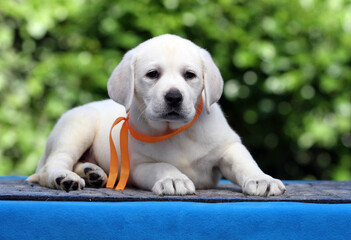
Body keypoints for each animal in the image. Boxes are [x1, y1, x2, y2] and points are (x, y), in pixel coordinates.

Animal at [27, 34, 286, 197]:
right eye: (152, 74)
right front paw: (174, 179)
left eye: (190, 75)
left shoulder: (227, 147)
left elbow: (245, 162)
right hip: (78, 127)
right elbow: (162, 165)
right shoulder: (140, 166)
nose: (174, 97)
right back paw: (65, 177)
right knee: (54, 163)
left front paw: (262, 180)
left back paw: (93, 173)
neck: (175, 131)